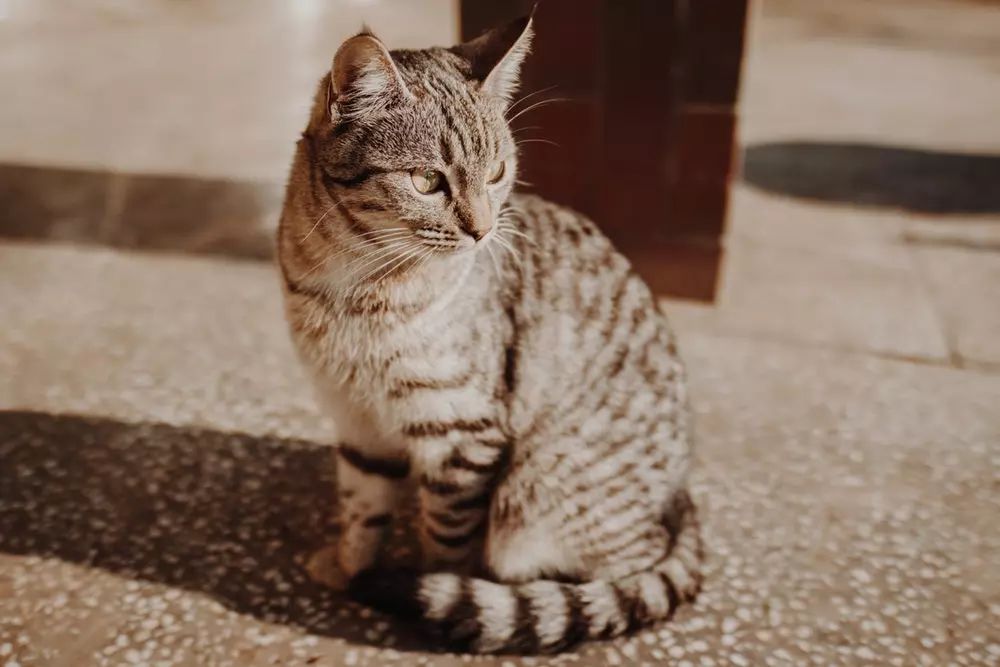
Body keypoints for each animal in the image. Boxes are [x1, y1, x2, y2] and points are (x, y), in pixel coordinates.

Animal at [276, 13, 704, 656]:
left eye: (498, 173)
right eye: (427, 180)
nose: (481, 231)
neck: (352, 284)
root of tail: (679, 496)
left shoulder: (461, 432)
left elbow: (446, 540)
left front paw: (433, 596)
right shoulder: (356, 421)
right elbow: (361, 509)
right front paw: (352, 565)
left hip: (538, 499)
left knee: (631, 567)